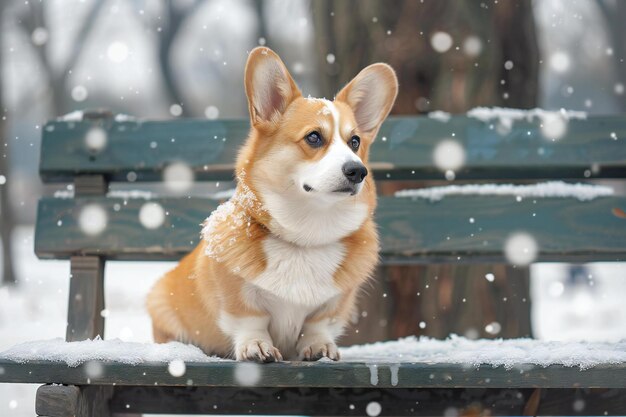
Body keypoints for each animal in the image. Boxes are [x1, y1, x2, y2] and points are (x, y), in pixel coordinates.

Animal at [147, 46, 394, 360]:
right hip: (160, 300)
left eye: (355, 142)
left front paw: (320, 346)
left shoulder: (335, 304)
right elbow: (250, 320)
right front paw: (256, 346)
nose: (357, 171)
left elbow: (318, 325)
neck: (305, 239)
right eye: (314, 137)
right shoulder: (237, 299)